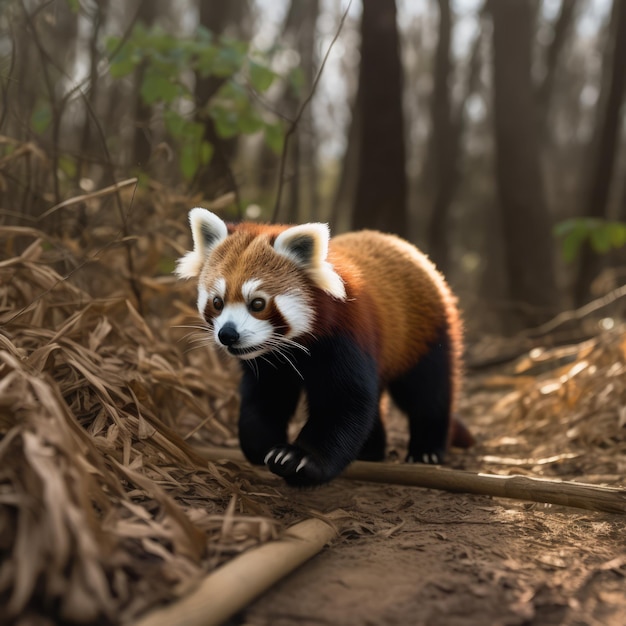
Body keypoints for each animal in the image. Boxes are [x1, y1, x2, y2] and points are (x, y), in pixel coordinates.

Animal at [174, 207, 468, 486]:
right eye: (217, 302)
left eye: (257, 303)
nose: (227, 334)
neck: (295, 346)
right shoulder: (270, 363)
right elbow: (266, 397)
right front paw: (260, 445)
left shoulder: (345, 338)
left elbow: (343, 401)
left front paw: (300, 459)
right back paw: (371, 450)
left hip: (424, 333)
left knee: (428, 390)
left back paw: (426, 450)